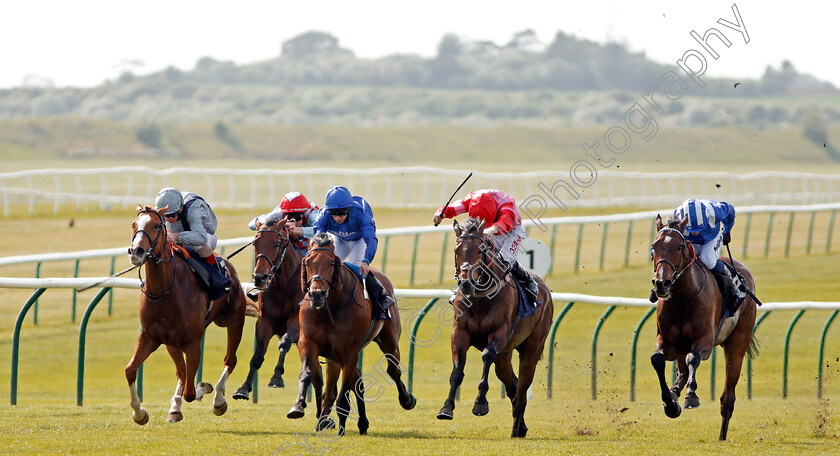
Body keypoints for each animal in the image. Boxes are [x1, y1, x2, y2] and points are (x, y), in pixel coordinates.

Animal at [124, 207, 246, 424]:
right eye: (133, 224)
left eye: (156, 225)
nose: (136, 251)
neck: (164, 291)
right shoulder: (150, 337)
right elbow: (130, 370)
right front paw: (139, 413)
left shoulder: (193, 342)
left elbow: (191, 391)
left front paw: (204, 387)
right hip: (172, 342)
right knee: (181, 372)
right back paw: (175, 407)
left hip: (233, 321)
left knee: (229, 360)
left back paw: (218, 399)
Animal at [233, 219, 302, 400]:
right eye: (255, 243)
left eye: (277, 243)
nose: (259, 277)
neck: (283, 287)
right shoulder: (265, 321)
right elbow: (257, 356)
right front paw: (244, 388)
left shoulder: (297, 320)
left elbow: (284, 342)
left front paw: (277, 377)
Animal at [288, 233, 416, 436]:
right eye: (307, 263)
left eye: (331, 263)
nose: (316, 294)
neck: (330, 307)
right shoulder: (308, 343)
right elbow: (308, 374)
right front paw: (298, 406)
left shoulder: (349, 352)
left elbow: (344, 394)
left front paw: (341, 427)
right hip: (334, 356)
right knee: (351, 385)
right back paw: (350, 422)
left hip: (389, 341)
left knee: (393, 370)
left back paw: (406, 400)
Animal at [436, 218, 556, 438]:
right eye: (457, 250)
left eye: (480, 249)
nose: (466, 283)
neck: (480, 298)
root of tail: (544, 289)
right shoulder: (459, 333)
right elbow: (457, 371)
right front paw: (447, 408)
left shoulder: (499, 334)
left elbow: (486, 356)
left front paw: (480, 403)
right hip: (505, 355)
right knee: (513, 385)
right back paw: (521, 427)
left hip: (531, 348)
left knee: (522, 387)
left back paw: (516, 427)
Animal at [648, 216, 760, 440]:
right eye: (654, 246)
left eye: (679, 246)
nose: (661, 283)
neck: (683, 298)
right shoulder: (669, 342)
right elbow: (657, 359)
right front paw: (670, 402)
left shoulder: (705, 341)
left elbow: (694, 358)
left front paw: (691, 395)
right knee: (682, 371)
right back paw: (674, 393)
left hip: (738, 341)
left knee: (728, 395)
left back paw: (722, 435)